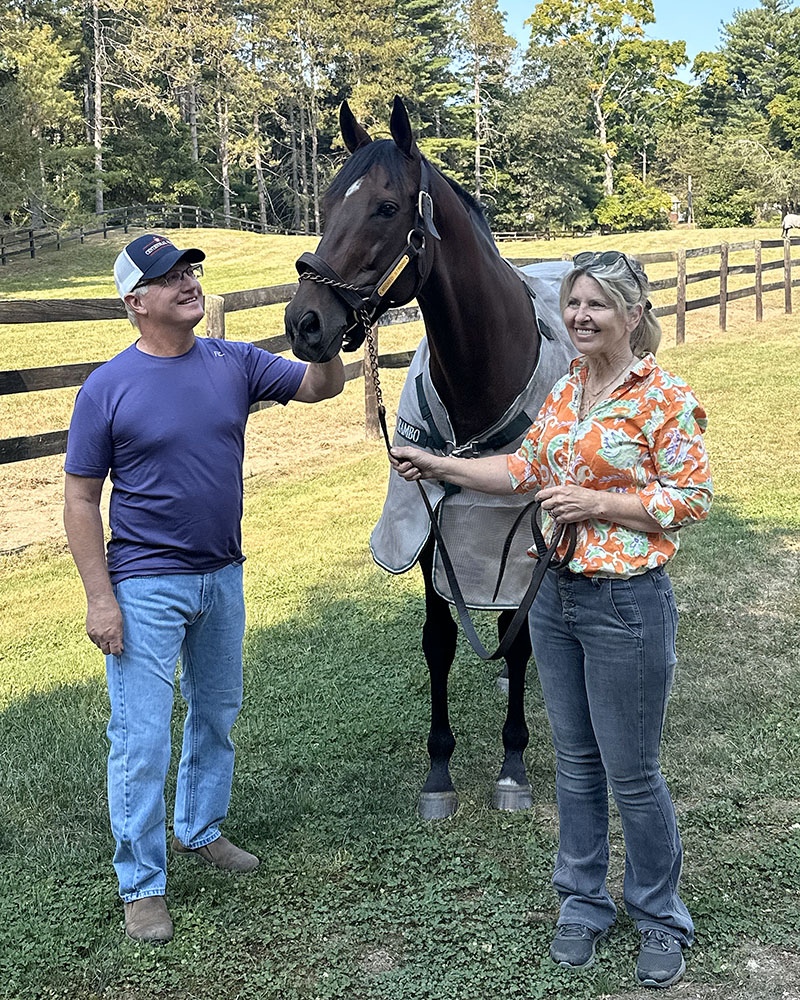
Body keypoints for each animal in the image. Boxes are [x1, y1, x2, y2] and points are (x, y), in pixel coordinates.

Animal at [282, 95, 576, 820]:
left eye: (386, 208)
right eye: (326, 202)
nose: (303, 323)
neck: (482, 378)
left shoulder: (517, 531)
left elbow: (518, 634)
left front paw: (512, 764)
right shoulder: (427, 527)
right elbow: (440, 641)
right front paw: (439, 770)